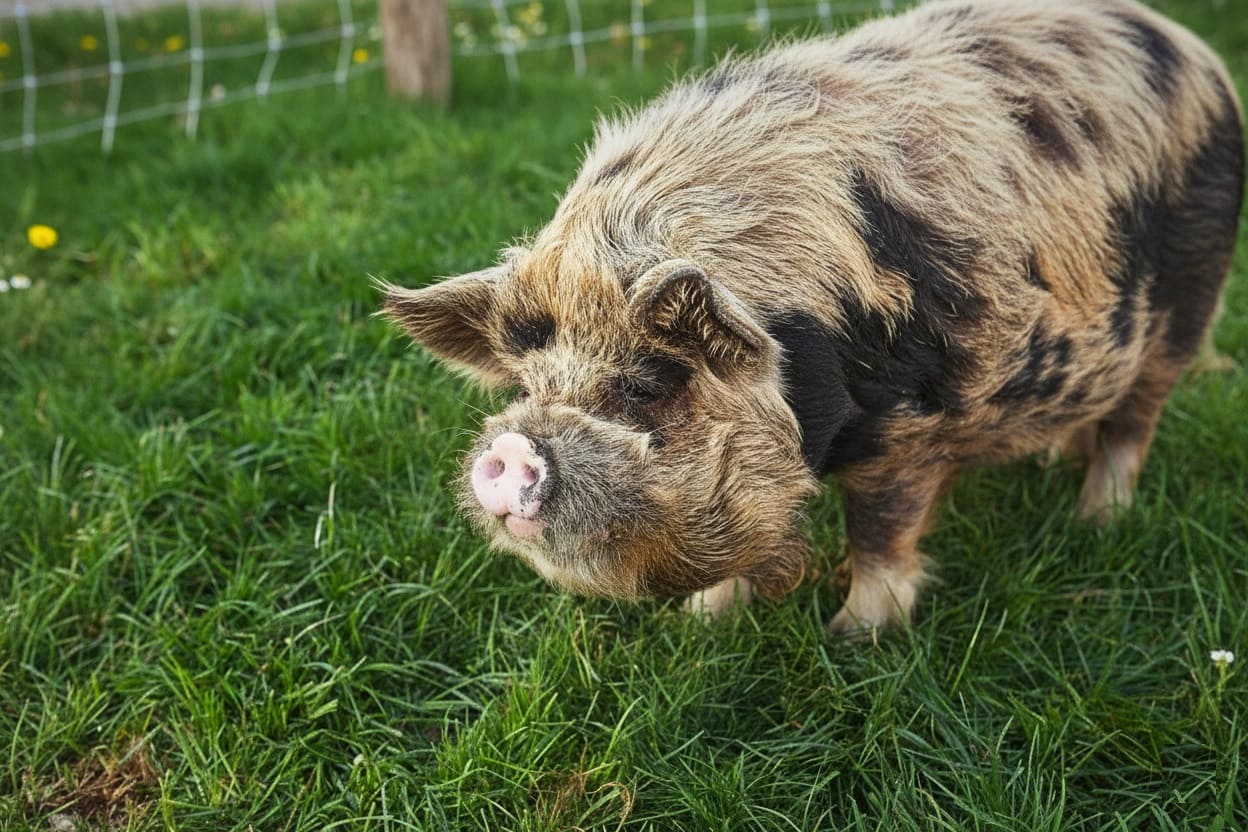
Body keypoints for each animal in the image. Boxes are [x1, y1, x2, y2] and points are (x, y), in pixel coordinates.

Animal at [381, 0, 1244, 635]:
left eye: (648, 384)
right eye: (525, 386)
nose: (509, 451)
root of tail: (1195, 51)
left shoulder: (910, 426)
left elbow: (881, 531)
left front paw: (855, 638)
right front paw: (703, 626)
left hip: (1188, 306)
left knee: (1135, 421)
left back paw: (1098, 520)